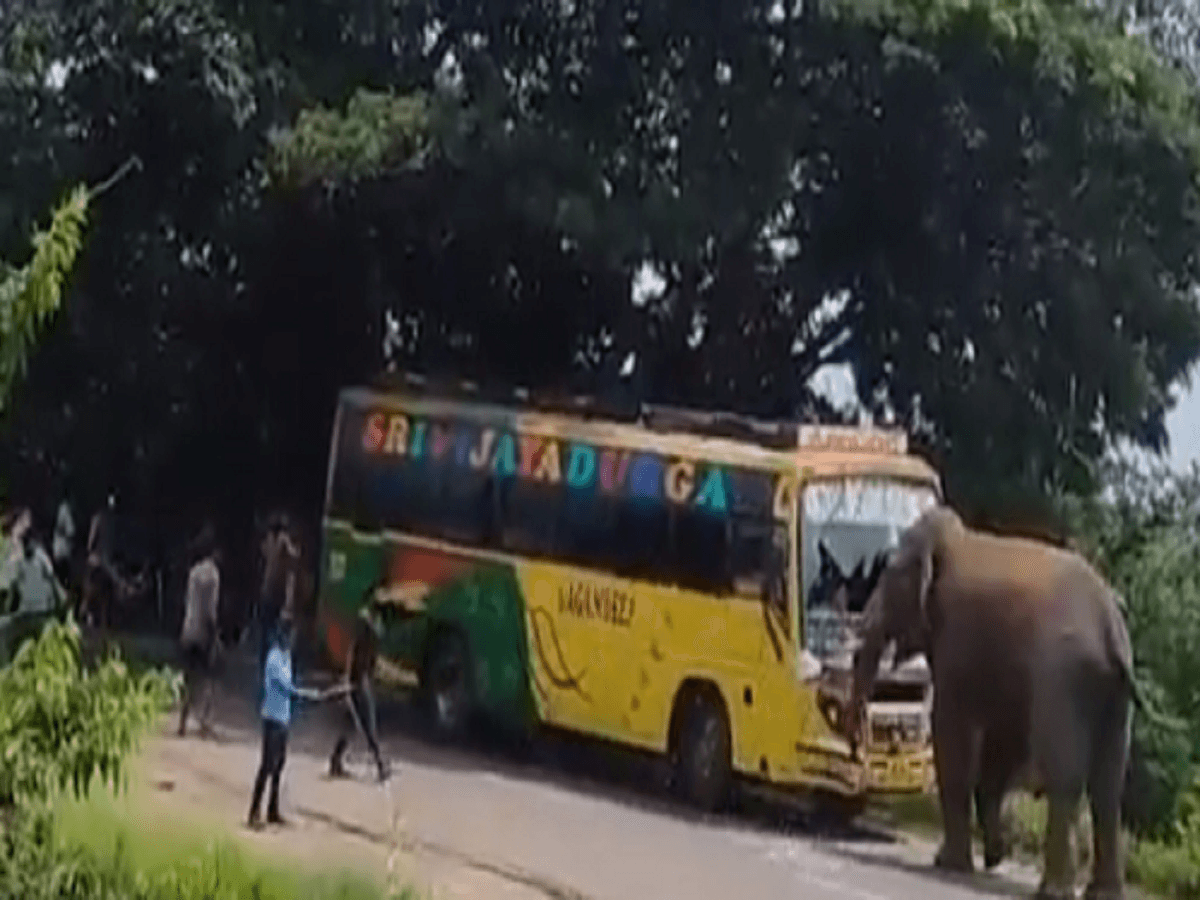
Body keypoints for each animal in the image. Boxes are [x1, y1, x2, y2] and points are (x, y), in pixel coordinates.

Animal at [843, 505, 1143, 900]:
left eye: (890, 576)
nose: (856, 744)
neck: (955, 538)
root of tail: (1112, 634)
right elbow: (1002, 741)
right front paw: (993, 857)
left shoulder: (958, 637)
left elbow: (951, 728)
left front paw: (949, 864)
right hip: (1110, 696)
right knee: (1108, 786)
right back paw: (1102, 893)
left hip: (1065, 678)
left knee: (1066, 776)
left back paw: (1052, 892)